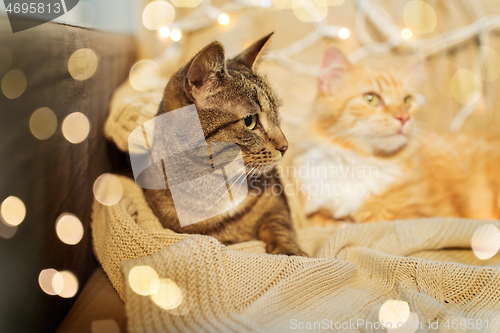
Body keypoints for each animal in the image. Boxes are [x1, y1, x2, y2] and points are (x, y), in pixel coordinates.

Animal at [143, 33, 306, 255]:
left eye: (276, 114)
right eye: (249, 121)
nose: (285, 146)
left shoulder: (277, 201)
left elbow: (280, 226)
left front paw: (291, 251)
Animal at [292, 46, 500, 223]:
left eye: (407, 101)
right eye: (371, 99)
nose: (404, 117)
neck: (359, 162)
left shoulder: (415, 216)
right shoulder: (319, 214)